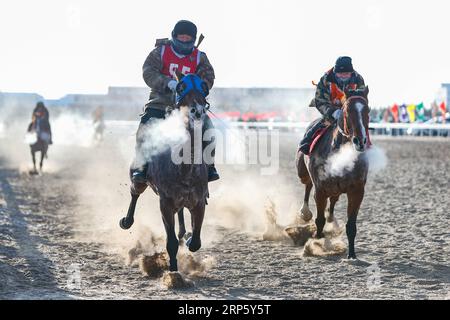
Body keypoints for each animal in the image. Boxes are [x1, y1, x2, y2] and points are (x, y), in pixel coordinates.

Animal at [296, 86, 370, 258]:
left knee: (334, 200)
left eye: (368, 110)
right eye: (347, 111)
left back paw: (331, 218)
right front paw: (316, 244)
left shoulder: (357, 191)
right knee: (307, 185)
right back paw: (305, 212)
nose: (360, 141)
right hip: (302, 172)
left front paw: (352, 255)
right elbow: (319, 220)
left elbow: (351, 225)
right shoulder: (320, 190)